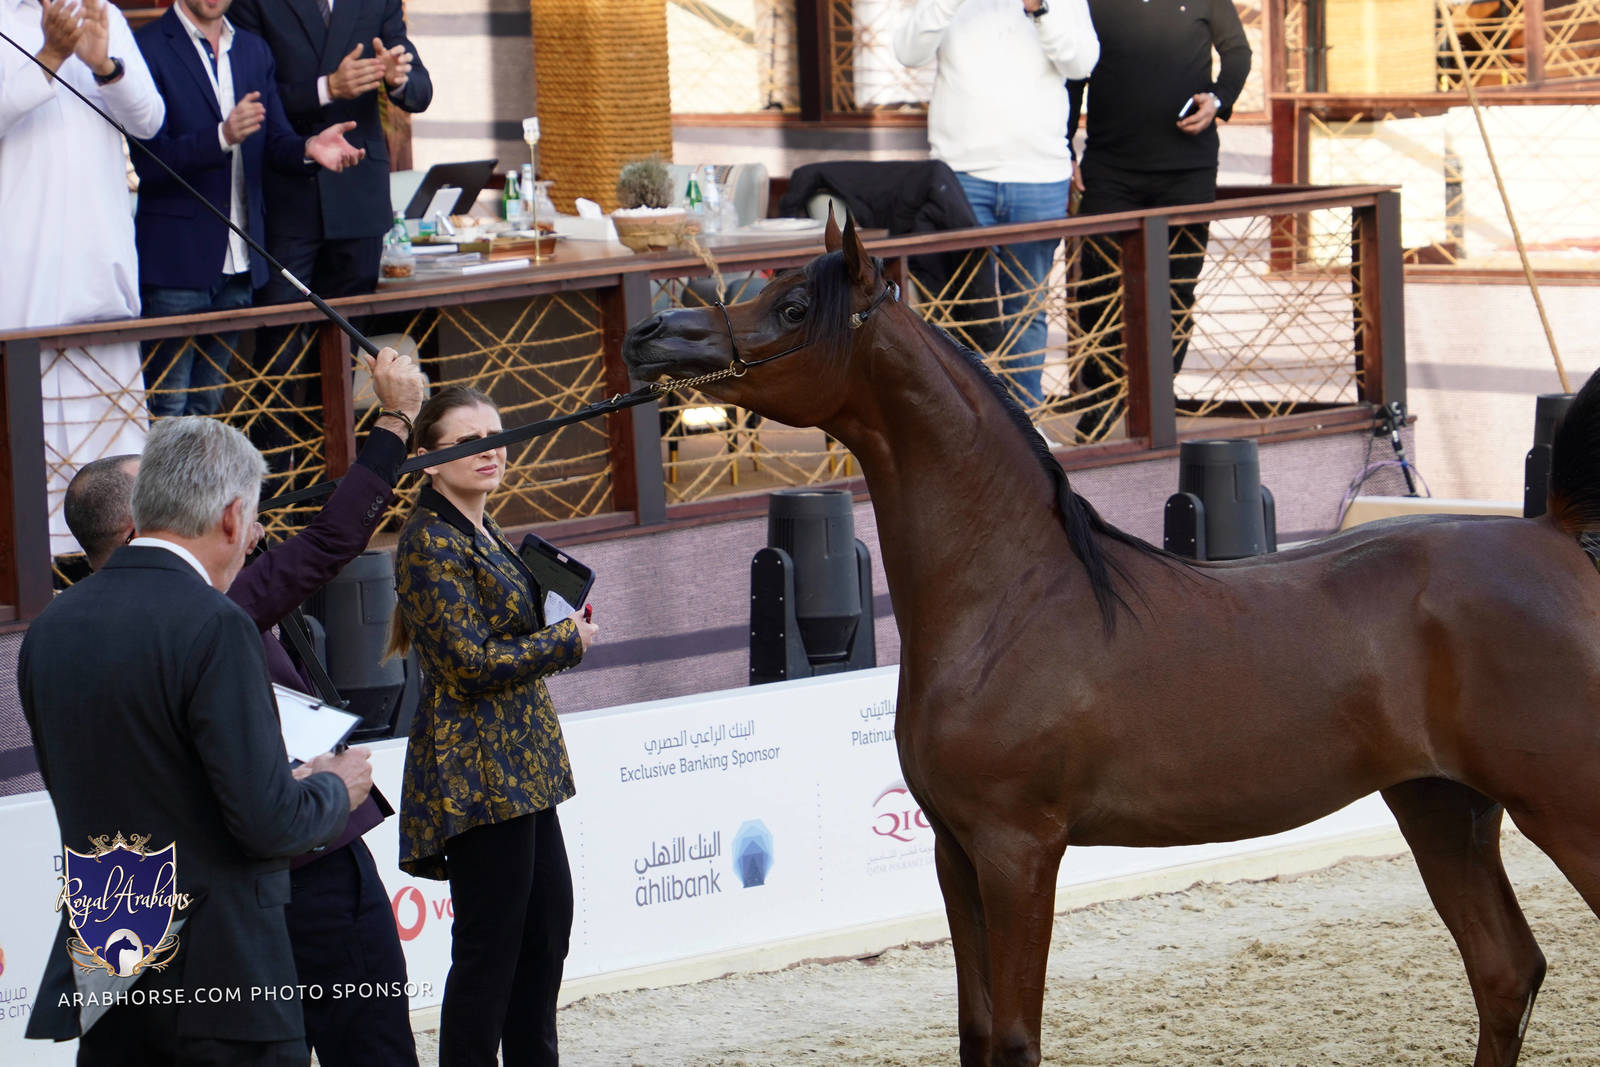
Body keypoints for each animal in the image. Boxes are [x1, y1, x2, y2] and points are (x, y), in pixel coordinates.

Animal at [621, 216, 1600, 1067]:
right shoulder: (955, 853)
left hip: (1560, 811)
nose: (652, 335)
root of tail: (1554, 536)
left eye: (793, 306)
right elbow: (976, 1035)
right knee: (1504, 972)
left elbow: (1016, 1038)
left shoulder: (1019, 850)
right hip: (1442, 807)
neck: (1013, 597)